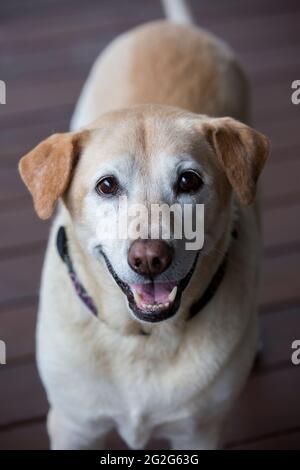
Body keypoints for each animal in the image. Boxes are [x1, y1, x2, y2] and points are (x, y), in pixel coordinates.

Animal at [18, 0, 270, 450]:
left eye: (189, 182)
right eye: (106, 186)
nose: (149, 258)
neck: (143, 340)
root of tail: (174, 28)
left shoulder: (198, 433)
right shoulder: (74, 426)